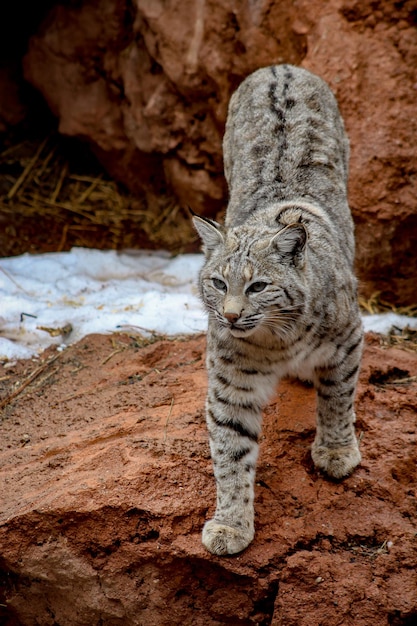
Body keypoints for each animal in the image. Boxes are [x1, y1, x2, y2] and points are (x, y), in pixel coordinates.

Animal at [192, 62, 360, 552]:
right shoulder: (231, 383)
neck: (278, 339)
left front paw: (336, 451)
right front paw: (231, 523)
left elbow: (338, 396)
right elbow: (230, 451)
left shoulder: (349, 338)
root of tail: (280, 66)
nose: (230, 316)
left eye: (259, 286)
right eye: (218, 283)